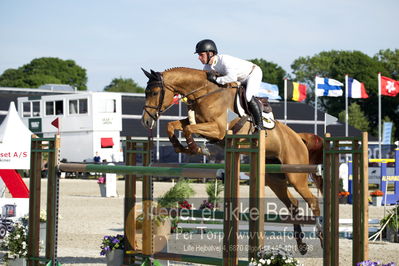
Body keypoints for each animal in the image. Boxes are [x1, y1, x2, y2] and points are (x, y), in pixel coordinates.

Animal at [142, 67, 324, 254]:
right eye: (146, 92)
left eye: (154, 92)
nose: (146, 121)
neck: (205, 92)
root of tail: (298, 137)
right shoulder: (199, 122)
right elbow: (173, 125)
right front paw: (181, 147)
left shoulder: (218, 129)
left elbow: (188, 128)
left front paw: (196, 148)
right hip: (274, 179)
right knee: (292, 204)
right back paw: (301, 244)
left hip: (296, 176)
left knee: (312, 201)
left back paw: (321, 236)